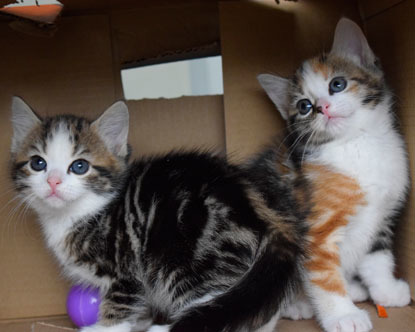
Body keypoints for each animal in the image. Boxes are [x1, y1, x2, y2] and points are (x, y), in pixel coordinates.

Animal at [9, 96, 308, 332]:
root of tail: (262, 203)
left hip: (186, 255)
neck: (80, 212)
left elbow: (120, 304)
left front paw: (104, 328)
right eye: (38, 163)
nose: (53, 182)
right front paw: (140, 320)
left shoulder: (126, 268)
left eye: (80, 166)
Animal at [258, 17, 412, 332]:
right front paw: (343, 316)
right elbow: (324, 274)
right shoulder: (317, 228)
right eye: (304, 106)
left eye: (337, 84)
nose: (322, 108)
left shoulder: (384, 214)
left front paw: (387, 290)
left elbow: (378, 258)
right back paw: (298, 304)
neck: (357, 143)